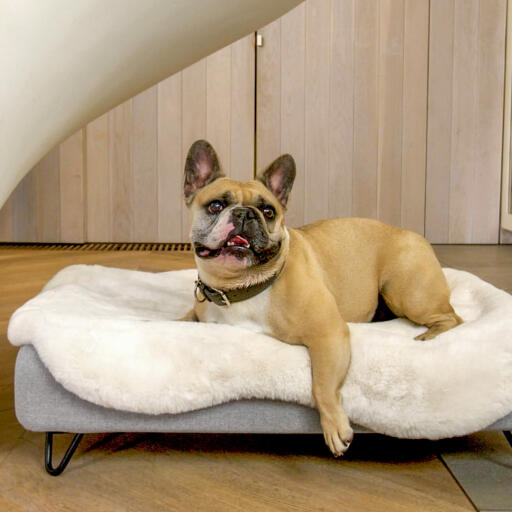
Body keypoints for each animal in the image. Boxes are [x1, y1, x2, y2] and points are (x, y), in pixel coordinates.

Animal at [181, 139, 464, 456]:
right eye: (216, 206)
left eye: (268, 211)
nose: (245, 214)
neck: (243, 287)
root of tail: (412, 234)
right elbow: (184, 318)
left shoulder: (328, 335)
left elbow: (322, 385)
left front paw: (335, 427)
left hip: (407, 293)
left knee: (452, 317)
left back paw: (428, 336)